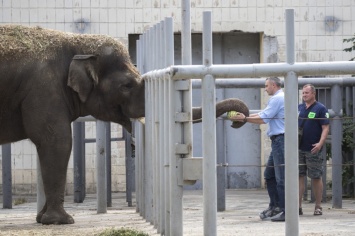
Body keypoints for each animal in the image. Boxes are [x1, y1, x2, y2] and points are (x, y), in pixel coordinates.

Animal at [0, 24, 250, 226]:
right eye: (127, 85)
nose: (238, 120)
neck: (76, 42)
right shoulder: (44, 89)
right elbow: (56, 142)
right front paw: (61, 221)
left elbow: (49, 145)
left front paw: (42, 219)